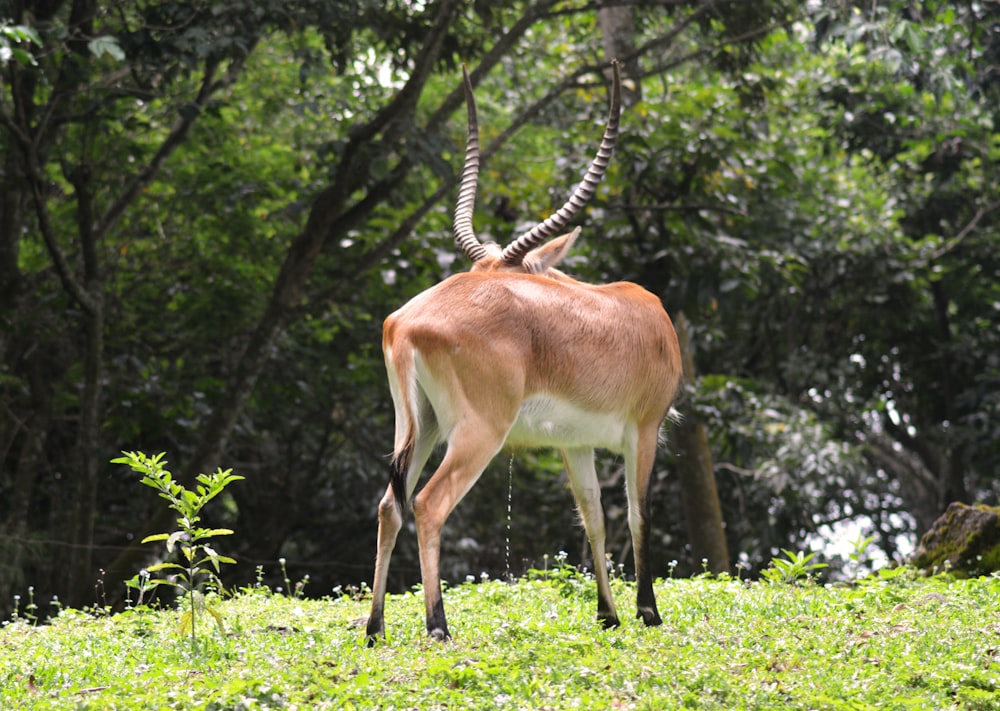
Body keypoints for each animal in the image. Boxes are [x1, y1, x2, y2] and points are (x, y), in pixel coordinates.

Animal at [364, 58, 684, 644]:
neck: (638, 317)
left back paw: (374, 628)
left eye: (496, 272)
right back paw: (438, 626)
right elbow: (638, 513)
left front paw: (608, 614)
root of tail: (408, 323)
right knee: (427, 503)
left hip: (418, 425)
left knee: (389, 505)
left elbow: (593, 517)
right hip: (477, 433)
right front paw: (647, 612)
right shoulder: (644, 429)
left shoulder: (575, 444)